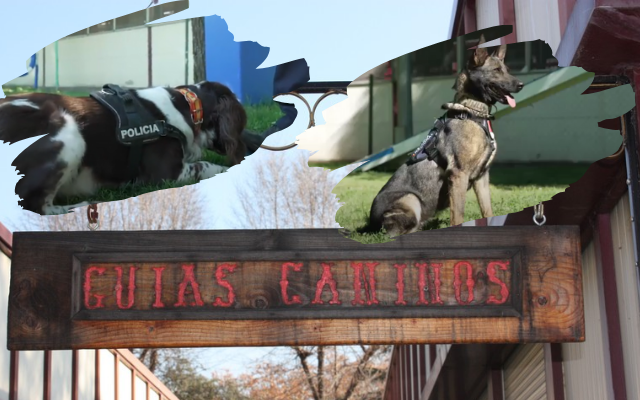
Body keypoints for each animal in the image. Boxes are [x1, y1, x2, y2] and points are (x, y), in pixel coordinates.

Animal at [370, 39, 524, 236]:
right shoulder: (458, 175)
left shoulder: (482, 178)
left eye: (507, 69)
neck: (473, 112)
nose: (521, 85)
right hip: (411, 200)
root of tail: (370, 222)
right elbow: (458, 215)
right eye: (496, 70)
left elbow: (487, 211)